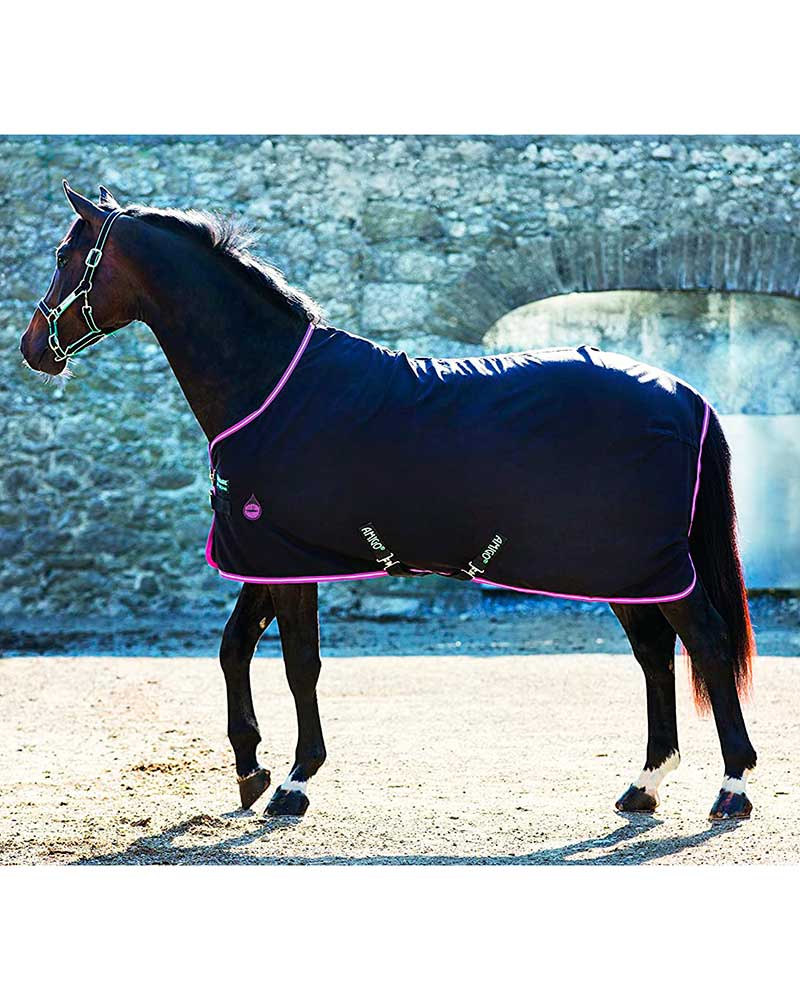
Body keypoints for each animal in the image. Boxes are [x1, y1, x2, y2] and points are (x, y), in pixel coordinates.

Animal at [20, 181, 757, 823]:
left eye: (63, 256)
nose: (32, 350)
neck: (271, 382)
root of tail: (685, 395)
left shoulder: (289, 560)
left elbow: (300, 664)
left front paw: (295, 782)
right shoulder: (266, 554)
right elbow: (233, 648)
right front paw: (250, 770)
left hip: (643, 562)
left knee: (707, 642)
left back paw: (733, 788)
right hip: (624, 568)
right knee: (655, 653)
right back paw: (644, 784)